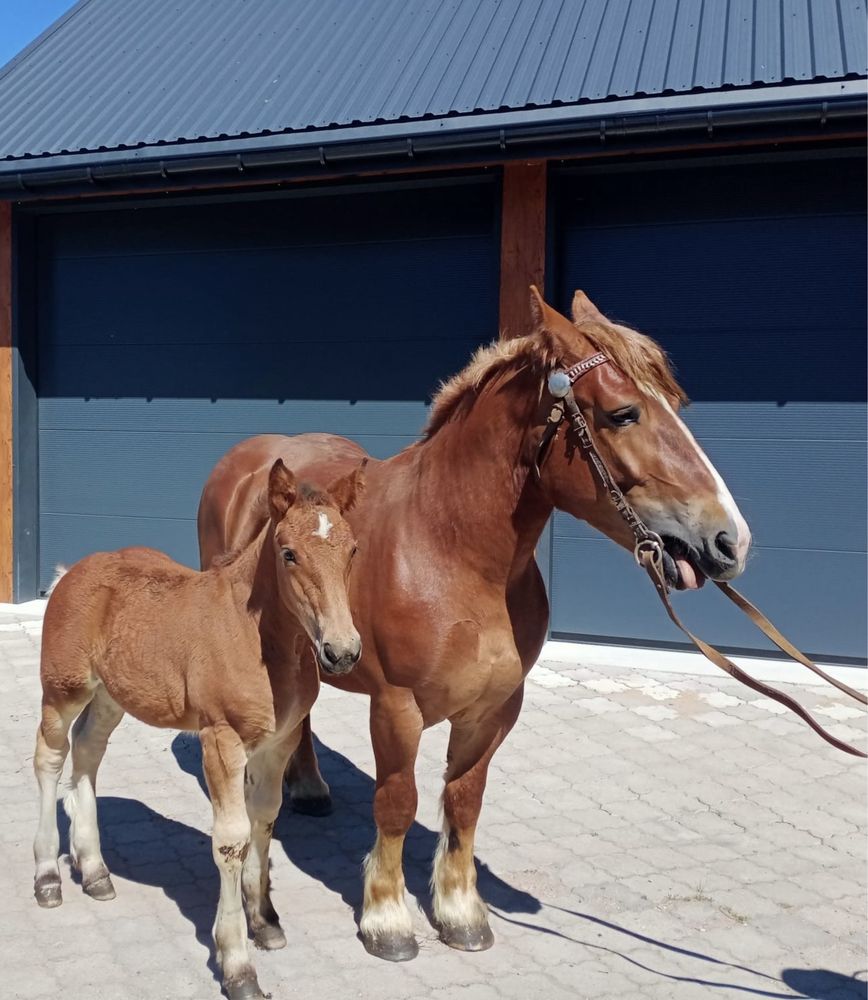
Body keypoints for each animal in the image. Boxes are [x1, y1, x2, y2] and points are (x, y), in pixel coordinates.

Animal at [33, 460, 362, 1000]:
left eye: (353, 549)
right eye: (288, 553)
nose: (342, 652)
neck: (264, 641)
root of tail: (73, 570)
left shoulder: (279, 742)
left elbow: (263, 820)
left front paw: (264, 920)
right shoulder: (221, 740)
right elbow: (230, 839)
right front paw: (237, 964)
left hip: (112, 695)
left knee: (87, 752)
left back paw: (95, 869)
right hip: (63, 689)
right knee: (50, 757)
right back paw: (47, 876)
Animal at [198, 290, 752, 960]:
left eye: (675, 405)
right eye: (623, 414)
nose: (729, 540)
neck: (450, 548)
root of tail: (249, 456)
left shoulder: (496, 708)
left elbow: (463, 802)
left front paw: (461, 913)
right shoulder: (396, 708)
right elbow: (398, 802)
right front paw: (388, 920)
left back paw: (308, 787)